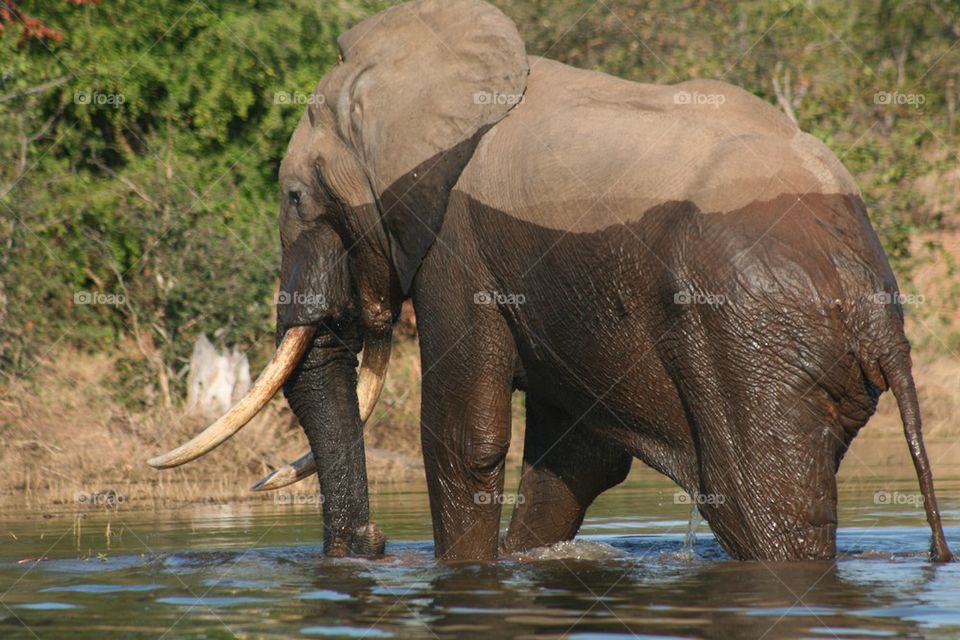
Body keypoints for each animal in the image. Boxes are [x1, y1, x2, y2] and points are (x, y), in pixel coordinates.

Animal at [149, 0, 952, 563]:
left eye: (292, 198)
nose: (372, 544)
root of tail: (876, 306)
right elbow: (575, 458)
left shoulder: (457, 244)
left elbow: (464, 435)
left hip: (751, 340)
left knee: (758, 501)